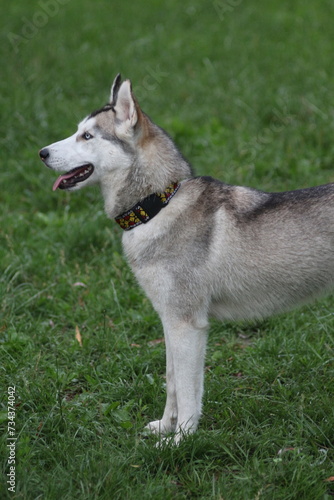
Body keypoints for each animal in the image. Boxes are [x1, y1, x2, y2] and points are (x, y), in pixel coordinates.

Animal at [39, 73, 334, 442]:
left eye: (87, 135)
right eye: (79, 130)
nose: (42, 153)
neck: (157, 205)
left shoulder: (187, 324)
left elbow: (188, 392)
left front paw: (179, 442)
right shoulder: (169, 319)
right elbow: (172, 383)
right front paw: (165, 428)